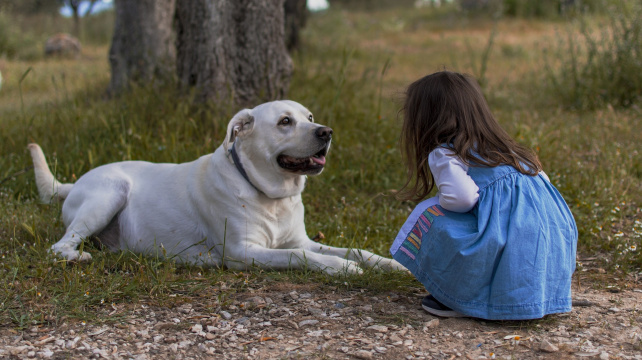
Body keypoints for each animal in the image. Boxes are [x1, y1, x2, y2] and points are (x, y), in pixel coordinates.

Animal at [30, 100, 402, 274]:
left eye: (309, 117)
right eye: (285, 122)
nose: (326, 132)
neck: (271, 196)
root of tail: (73, 183)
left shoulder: (301, 239)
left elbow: (354, 250)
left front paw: (389, 264)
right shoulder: (243, 251)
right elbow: (299, 256)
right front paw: (341, 268)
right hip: (109, 193)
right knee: (58, 246)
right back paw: (76, 257)